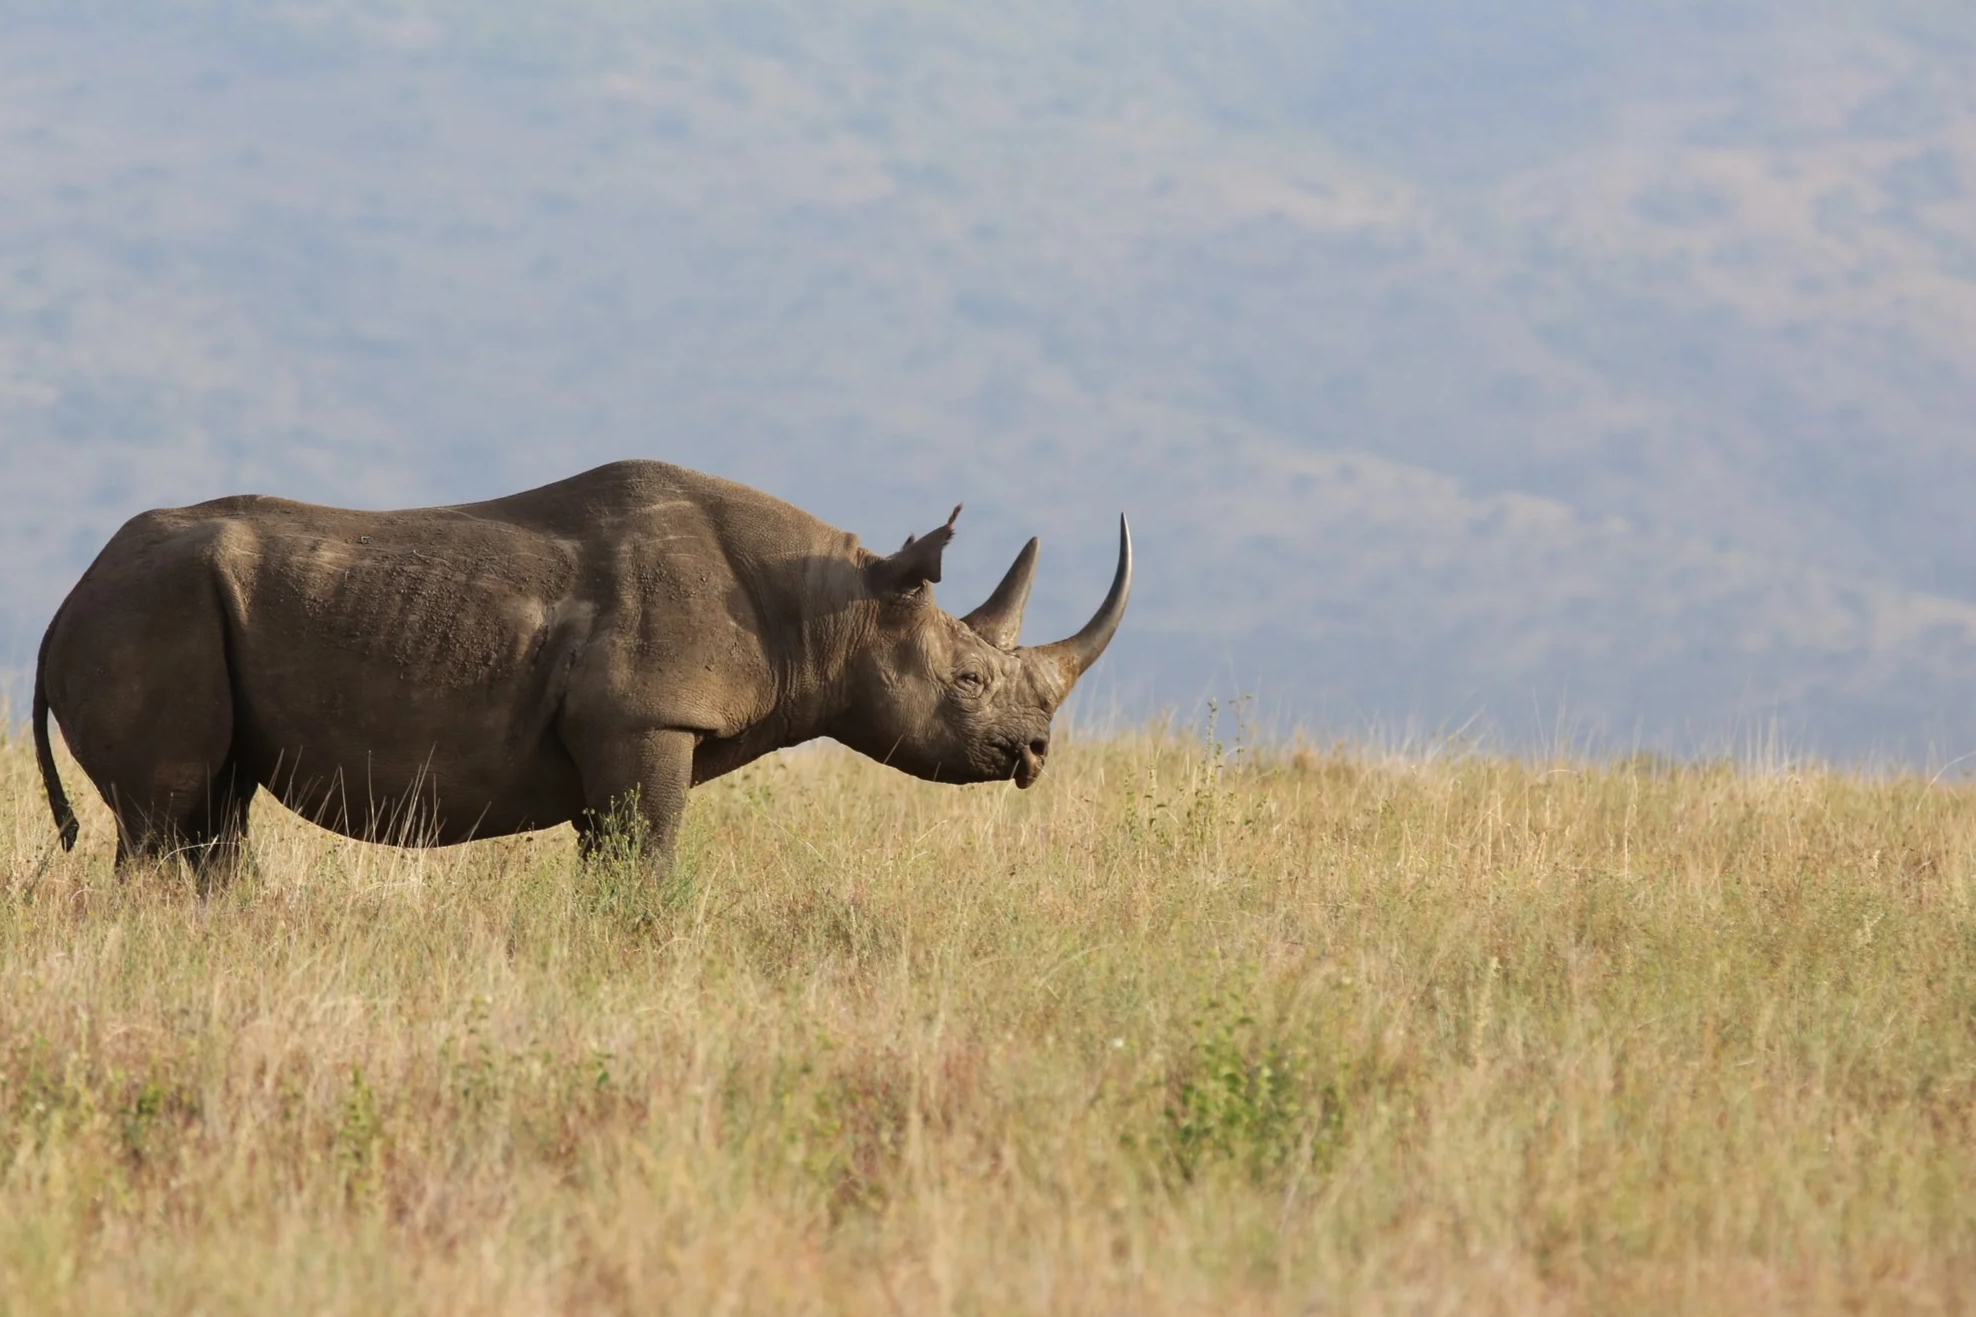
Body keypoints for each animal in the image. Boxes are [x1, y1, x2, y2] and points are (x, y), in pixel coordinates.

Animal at [32, 460, 1129, 880]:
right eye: (967, 685)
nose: (1033, 752)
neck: (828, 607)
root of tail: (56, 612)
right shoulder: (647, 718)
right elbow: (646, 858)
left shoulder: (623, 733)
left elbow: (610, 856)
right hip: (147, 612)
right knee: (168, 811)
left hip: (169, 610)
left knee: (213, 816)